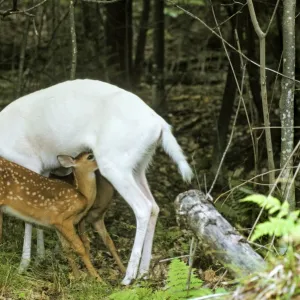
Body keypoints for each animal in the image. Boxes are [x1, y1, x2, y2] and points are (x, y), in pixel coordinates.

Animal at [0, 79, 192, 284]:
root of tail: (160, 125)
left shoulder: (30, 162)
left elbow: (27, 217)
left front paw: (24, 265)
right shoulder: (44, 169)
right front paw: (40, 258)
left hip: (114, 162)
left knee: (143, 206)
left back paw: (128, 277)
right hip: (139, 164)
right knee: (154, 206)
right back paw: (144, 273)